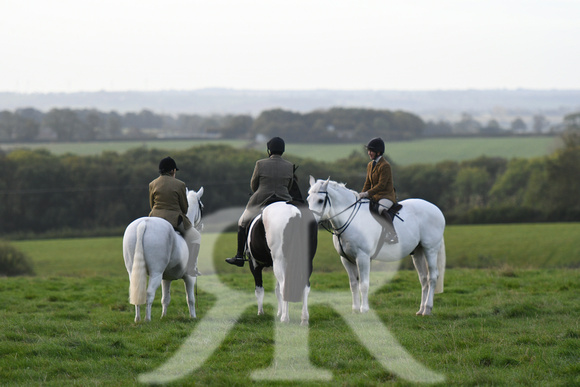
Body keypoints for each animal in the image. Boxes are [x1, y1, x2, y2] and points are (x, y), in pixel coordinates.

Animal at [122, 187, 204, 322]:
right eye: (201, 206)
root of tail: (144, 223)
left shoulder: (166, 278)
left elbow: (165, 299)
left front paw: (163, 316)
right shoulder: (189, 277)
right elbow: (190, 299)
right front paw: (193, 317)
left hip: (133, 271)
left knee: (136, 290)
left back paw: (138, 319)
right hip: (156, 273)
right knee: (149, 293)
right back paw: (147, 319)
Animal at [306, 177, 446, 316]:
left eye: (320, 200)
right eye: (308, 199)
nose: (310, 222)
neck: (351, 219)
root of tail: (436, 209)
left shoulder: (362, 257)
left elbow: (363, 284)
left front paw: (364, 309)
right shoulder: (346, 259)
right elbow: (353, 284)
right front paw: (355, 309)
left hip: (430, 249)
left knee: (432, 277)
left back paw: (427, 309)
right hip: (418, 252)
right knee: (423, 279)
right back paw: (421, 310)